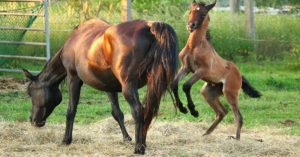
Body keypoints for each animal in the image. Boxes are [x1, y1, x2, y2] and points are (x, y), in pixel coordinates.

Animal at [172, 0, 262, 139]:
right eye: (190, 11)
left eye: (203, 14)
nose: (190, 26)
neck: (194, 46)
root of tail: (239, 75)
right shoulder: (186, 68)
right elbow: (174, 84)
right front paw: (182, 108)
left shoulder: (201, 71)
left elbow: (186, 86)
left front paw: (193, 110)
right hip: (208, 92)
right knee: (222, 112)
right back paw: (206, 133)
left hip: (230, 93)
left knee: (238, 117)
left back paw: (236, 139)